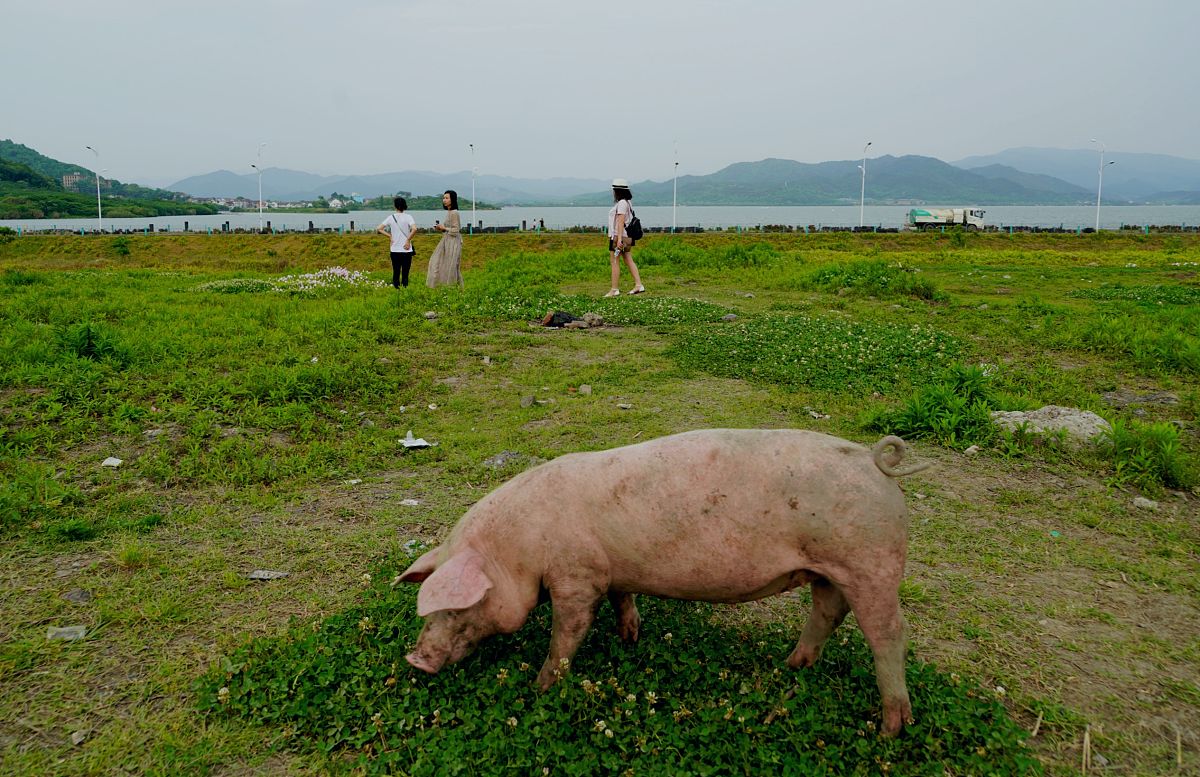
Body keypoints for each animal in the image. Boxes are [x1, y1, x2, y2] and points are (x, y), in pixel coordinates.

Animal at [393, 426, 926, 733]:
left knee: (888, 635)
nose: (416, 659)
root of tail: (874, 461)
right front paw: (631, 637)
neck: (518, 550)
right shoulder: (611, 571)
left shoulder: (576, 576)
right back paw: (792, 666)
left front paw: (541, 688)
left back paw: (891, 728)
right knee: (828, 612)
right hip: (831, 569)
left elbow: (568, 632)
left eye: (456, 606)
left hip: (871, 562)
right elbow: (623, 598)